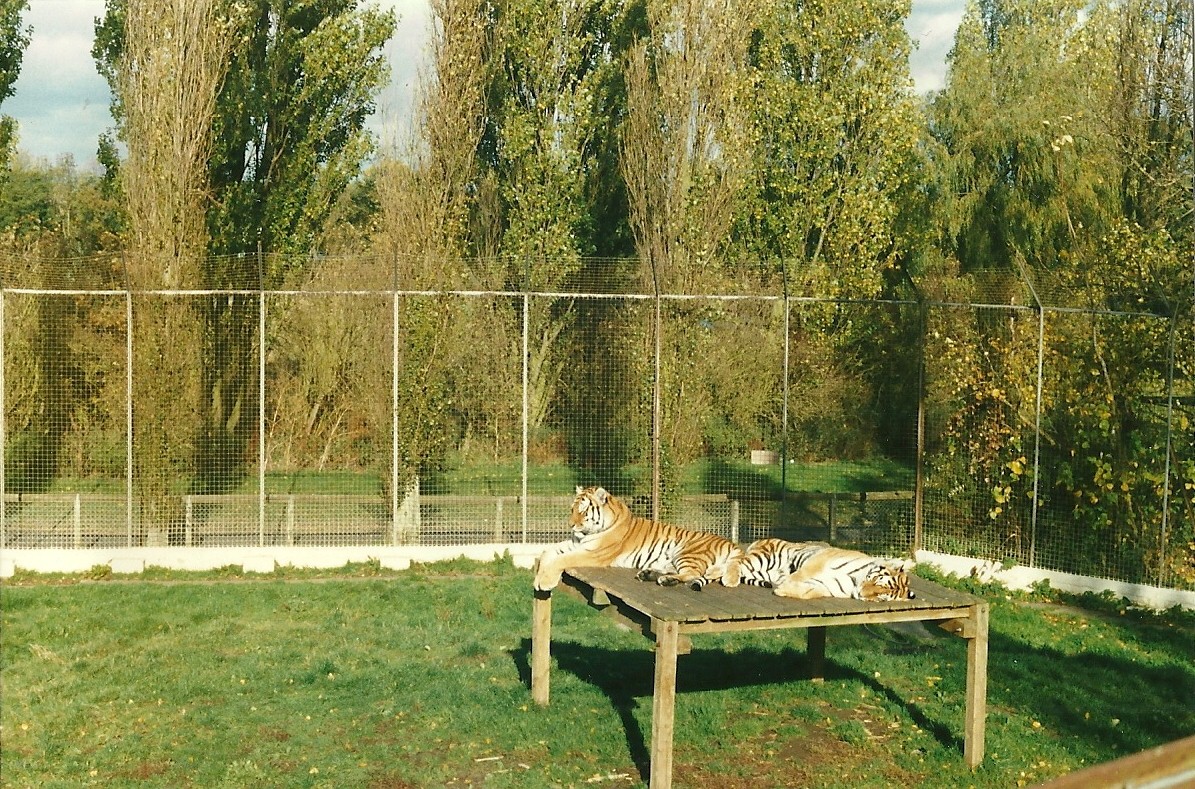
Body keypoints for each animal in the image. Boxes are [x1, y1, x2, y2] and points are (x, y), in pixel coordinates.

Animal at [533, 486, 744, 592]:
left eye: (583, 511)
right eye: (572, 509)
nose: (570, 525)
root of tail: (730, 542)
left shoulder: (593, 554)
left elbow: (560, 559)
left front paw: (544, 582)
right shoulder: (575, 544)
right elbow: (547, 552)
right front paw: (538, 578)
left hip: (687, 552)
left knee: (692, 574)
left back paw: (665, 580)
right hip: (672, 560)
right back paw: (649, 575)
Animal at [733, 537, 916, 601]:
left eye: (880, 596)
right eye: (877, 581)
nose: (861, 593)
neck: (855, 581)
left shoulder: (827, 587)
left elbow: (809, 593)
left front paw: (783, 589)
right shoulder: (821, 559)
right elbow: (799, 575)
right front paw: (785, 584)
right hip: (763, 559)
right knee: (735, 565)